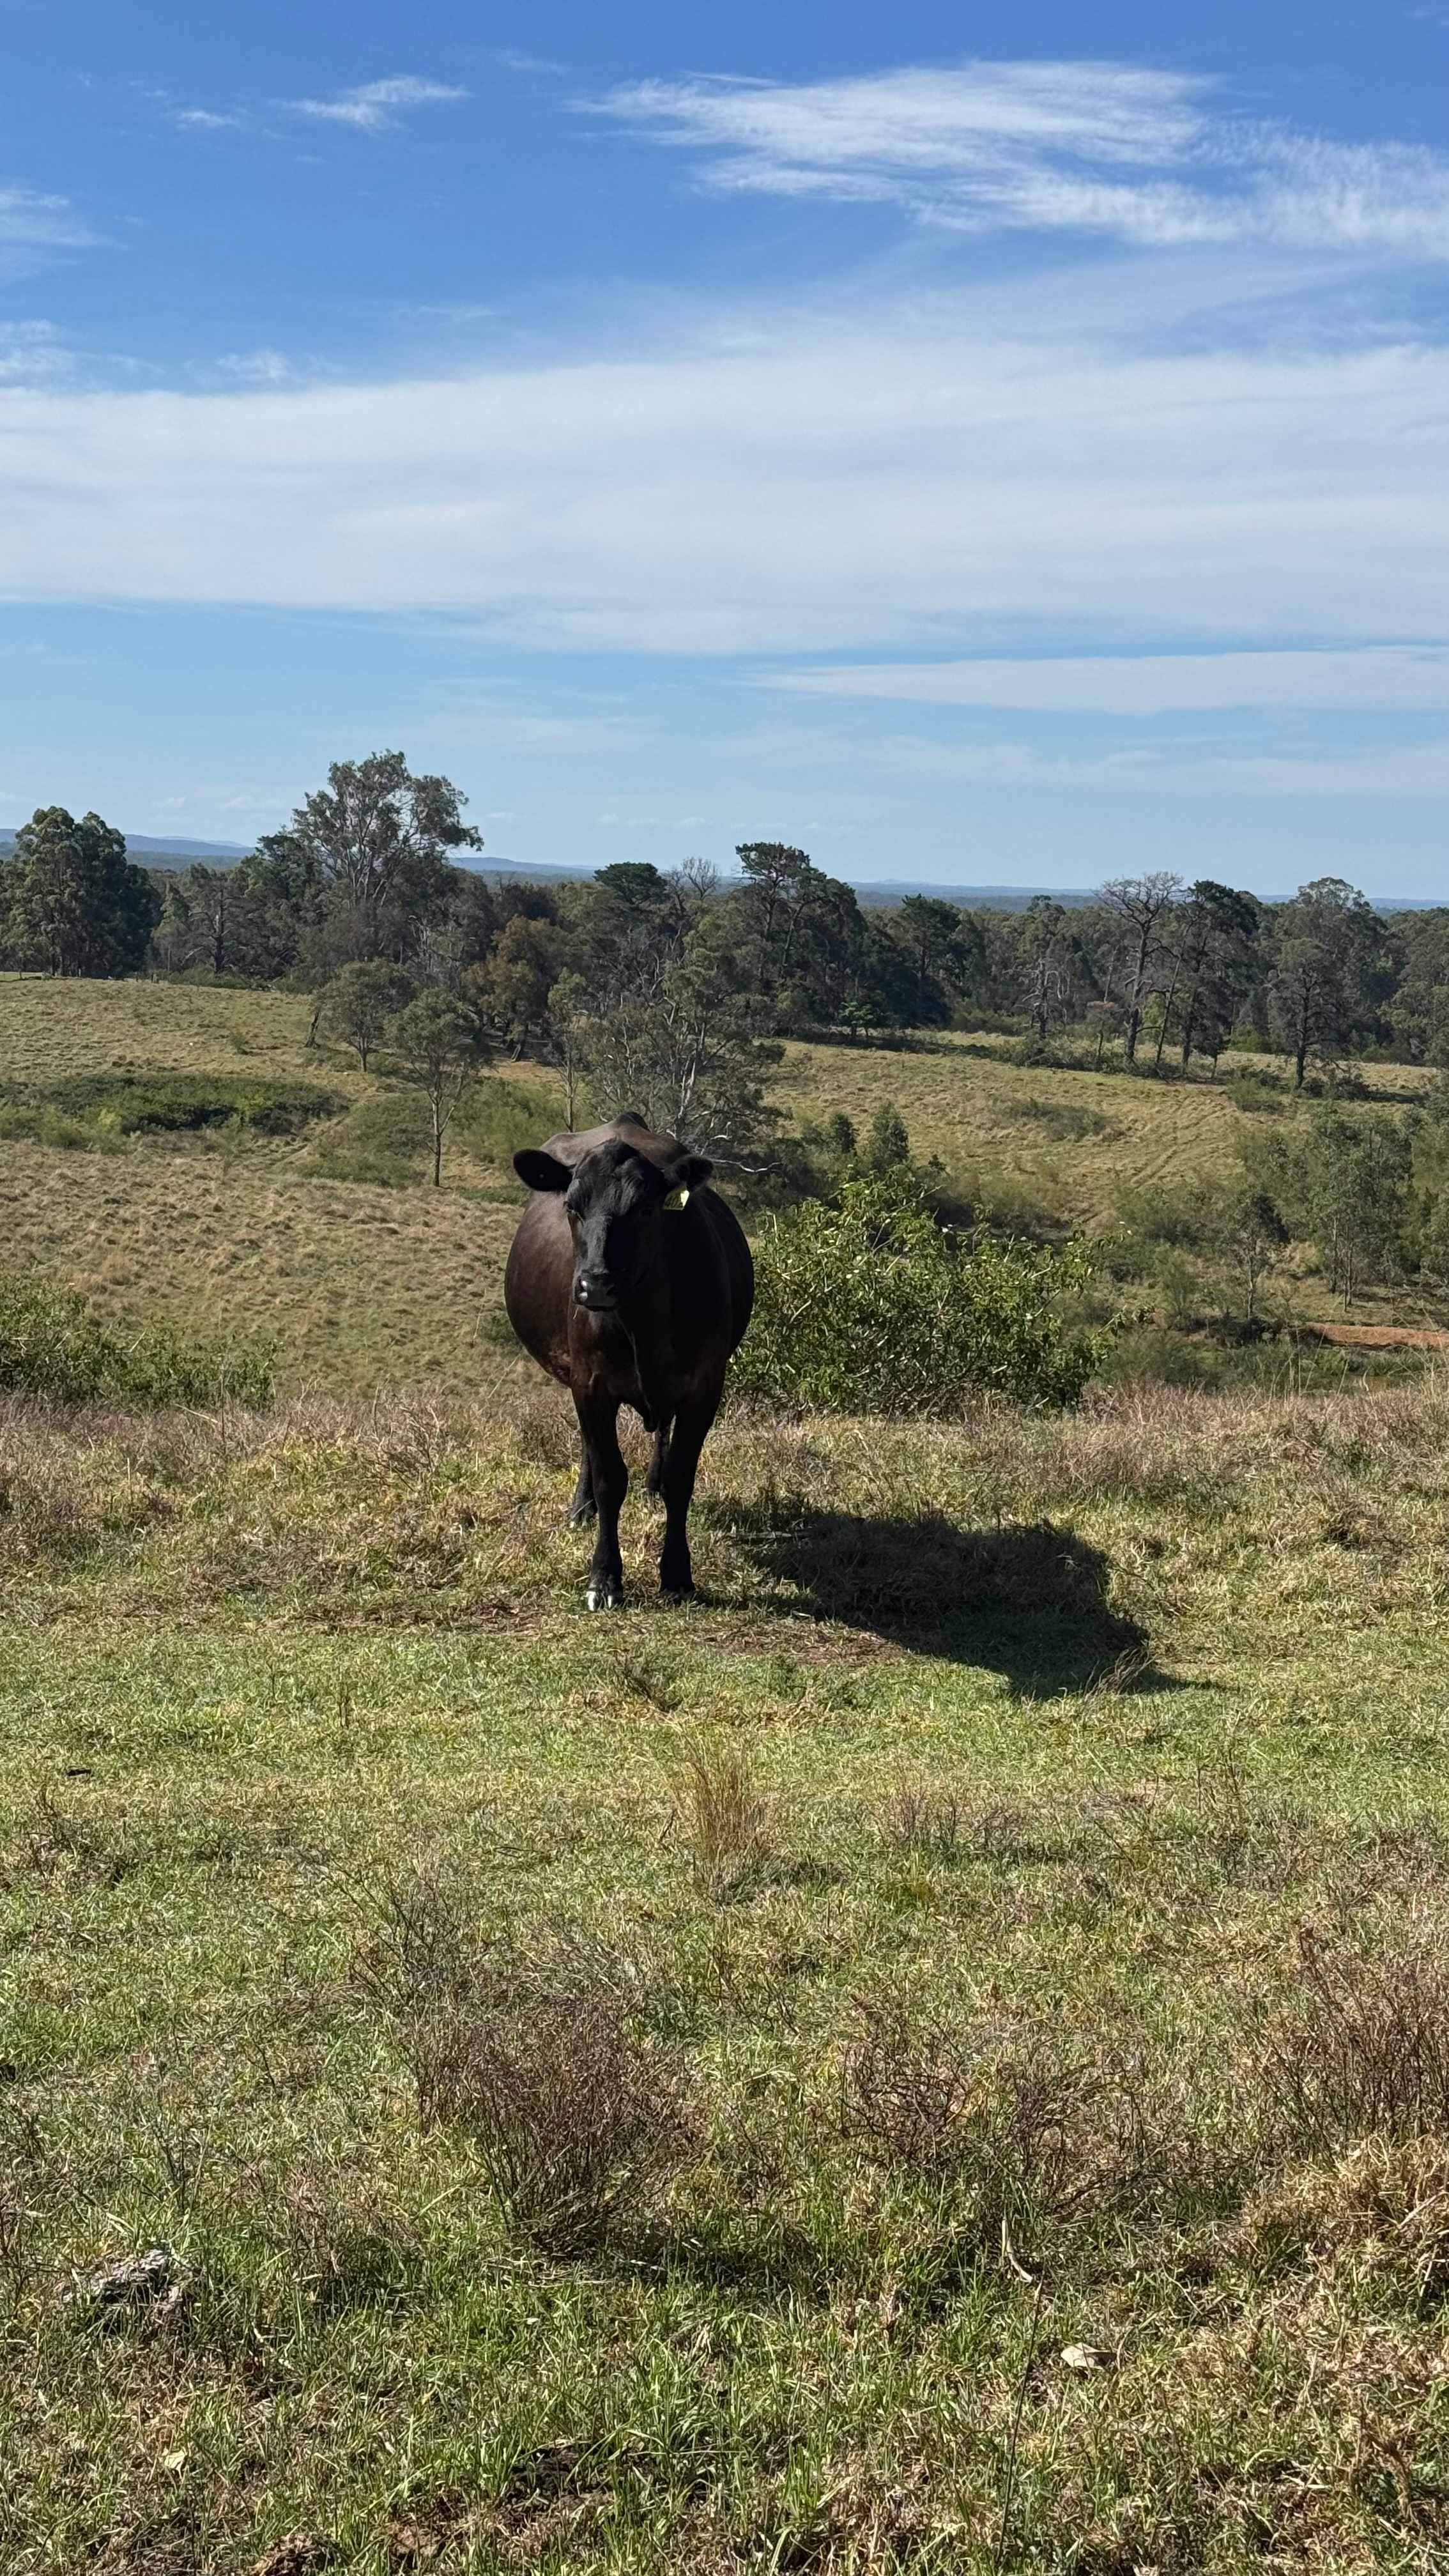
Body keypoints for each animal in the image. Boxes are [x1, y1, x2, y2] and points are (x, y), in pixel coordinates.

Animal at [505, 1114, 754, 1609]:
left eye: (643, 1209)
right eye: (572, 1206)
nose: (595, 1284)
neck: (643, 1321)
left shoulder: (705, 1386)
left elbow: (681, 1477)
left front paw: (677, 1574)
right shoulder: (590, 1384)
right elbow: (609, 1478)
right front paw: (604, 1577)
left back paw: (651, 1486)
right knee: (591, 1451)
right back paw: (581, 1509)